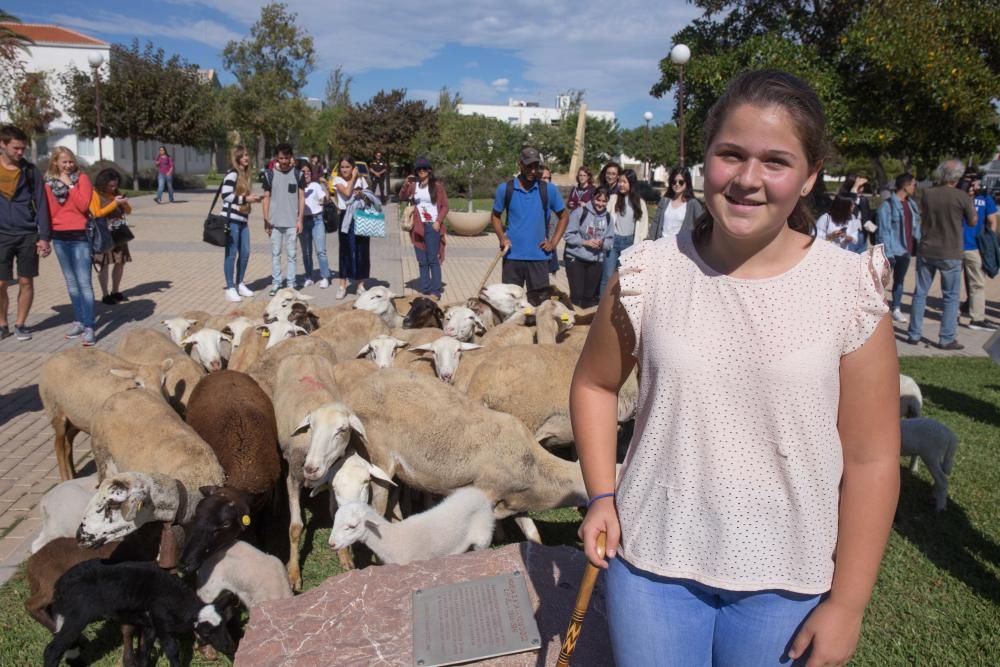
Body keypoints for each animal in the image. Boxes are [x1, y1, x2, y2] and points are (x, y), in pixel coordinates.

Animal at [332, 488, 496, 568]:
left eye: (351, 526)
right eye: (334, 521)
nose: (331, 544)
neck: (391, 537)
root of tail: (478, 493)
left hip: (484, 535)